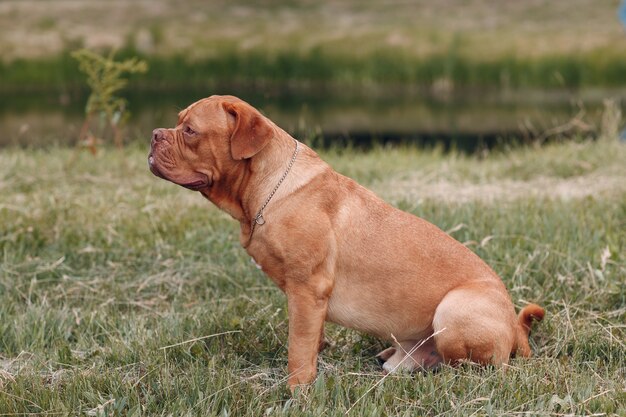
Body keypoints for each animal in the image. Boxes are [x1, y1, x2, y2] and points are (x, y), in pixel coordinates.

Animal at [149, 96, 544, 388]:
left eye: (190, 130)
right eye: (178, 122)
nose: (154, 134)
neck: (268, 191)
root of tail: (515, 328)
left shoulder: (307, 288)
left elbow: (298, 348)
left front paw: (297, 391)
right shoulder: (309, 299)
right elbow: (311, 339)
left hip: (453, 310)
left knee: (480, 366)